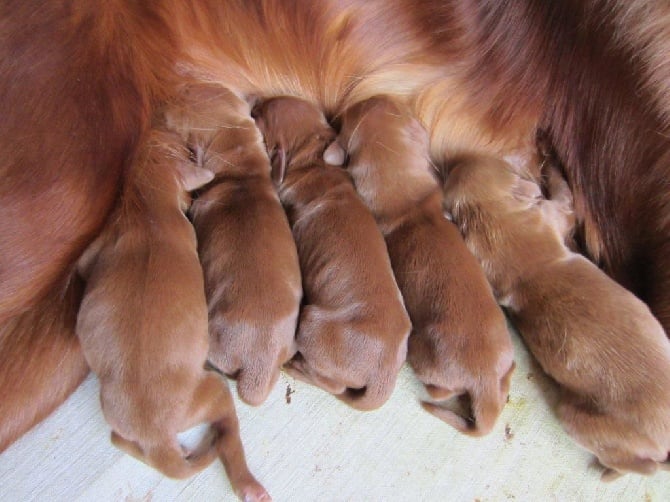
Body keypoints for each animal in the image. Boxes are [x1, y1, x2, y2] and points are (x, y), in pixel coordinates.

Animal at [77, 127, 270, 500]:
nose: (186, 139)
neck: (145, 209)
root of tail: (157, 438)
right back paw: (248, 481)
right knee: (228, 433)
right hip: (214, 390)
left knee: (119, 440)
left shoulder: (96, 249)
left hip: (113, 413)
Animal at [252, 96, 410, 410]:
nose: (254, 104)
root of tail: (383, 374)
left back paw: (296, 367)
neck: (313, 157)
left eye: (262, 114)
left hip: (311, 324)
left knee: (332, 384)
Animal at [446, 156, 670, 478]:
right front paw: (550, 164)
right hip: (578, 419)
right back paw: (609, 472)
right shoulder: (554, 212)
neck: (494, 220)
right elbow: (565, 196)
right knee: (642, 466)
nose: (460, 159)